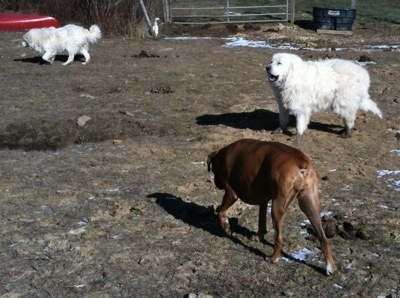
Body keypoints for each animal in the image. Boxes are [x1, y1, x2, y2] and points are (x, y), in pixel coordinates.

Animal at [208, 139, 336, 274]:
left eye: (213, 170)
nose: (216, 183)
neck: (222, 156)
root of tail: (301, 161)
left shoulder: (231, 194)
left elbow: (221, 211)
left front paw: (226, 227)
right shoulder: (263, 202)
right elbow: (261, 222)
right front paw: (258, 237)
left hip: (277, 207)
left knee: (278, 238)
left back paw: (273, 258)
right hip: (310, 205)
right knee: (323, 238)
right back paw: (330, 268)